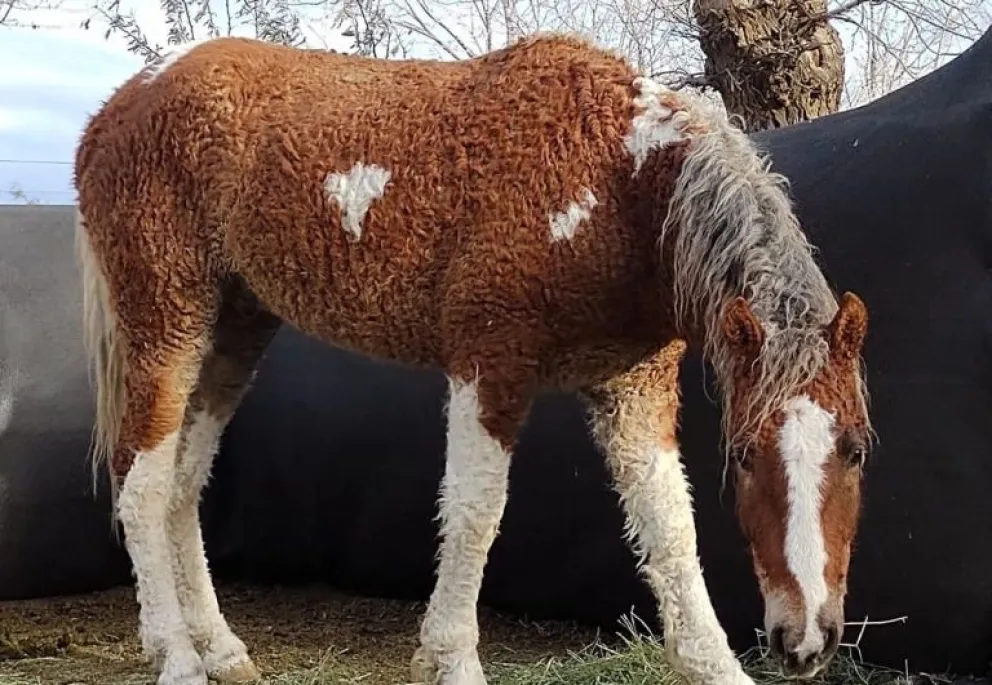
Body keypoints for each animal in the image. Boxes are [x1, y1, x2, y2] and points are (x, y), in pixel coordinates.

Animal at [72, 32, 872, 685]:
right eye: (743, 454)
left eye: (858, 449)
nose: (805, 641)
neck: (617, 183)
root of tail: (112, 111)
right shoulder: (491, 362)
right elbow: (476, 509)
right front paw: (451, 658)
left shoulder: (633, 386)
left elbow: (669, 523)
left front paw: (711, 663)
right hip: (165, 321)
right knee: (141, 485)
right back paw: (176, 656)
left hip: (235, 331)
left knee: (181, 486)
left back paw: (220, 647)